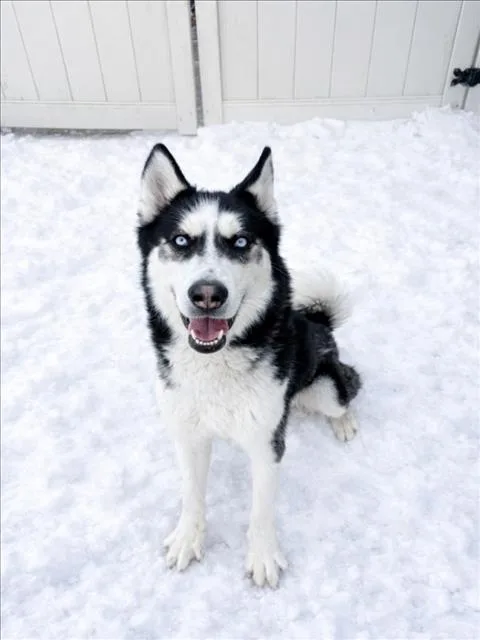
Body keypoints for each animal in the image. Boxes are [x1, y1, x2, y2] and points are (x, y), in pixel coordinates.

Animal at [136, 144, 361, 588]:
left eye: (240, 241)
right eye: (181, 240)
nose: (208, 294)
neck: (214, 368)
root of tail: (318, 322)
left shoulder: (267, 443)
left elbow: (260, 509)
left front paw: (263, 557)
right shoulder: (188, 434)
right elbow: (192, 494)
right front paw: (188, 538)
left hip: (325, 386)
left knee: (349, 387)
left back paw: (345, 421)